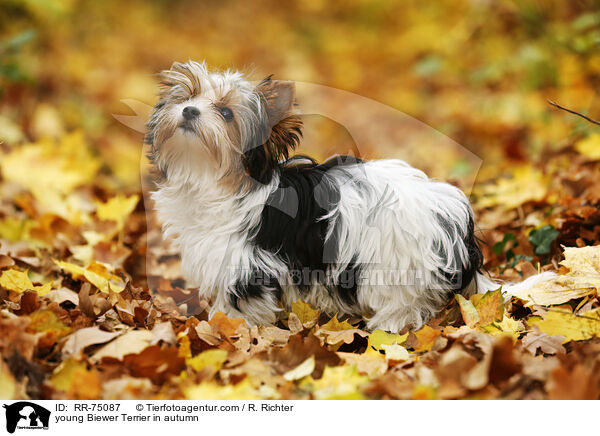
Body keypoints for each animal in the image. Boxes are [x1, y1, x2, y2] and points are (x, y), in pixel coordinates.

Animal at [146, 61, 552, 332]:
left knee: (404, 306)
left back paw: (386, 330)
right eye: (189, 96)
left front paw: (231, 329)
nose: (188, 110)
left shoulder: (247, 263)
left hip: (393, 266)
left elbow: (242, 305)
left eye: (227, 113)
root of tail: (455, 222)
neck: (216, 178)